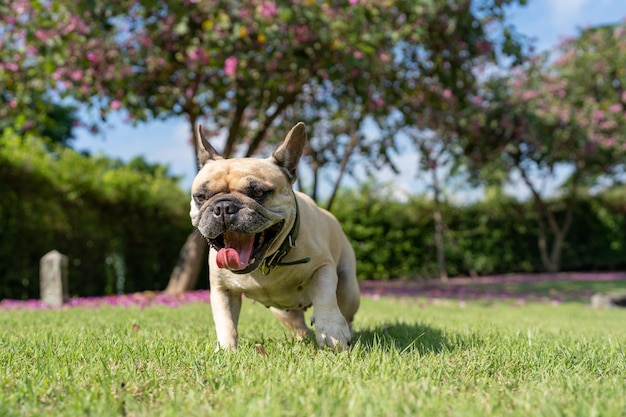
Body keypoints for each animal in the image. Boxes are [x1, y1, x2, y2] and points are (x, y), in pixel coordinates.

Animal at [188, 122, 358, 350]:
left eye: (258, 193)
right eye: (201, 197)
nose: (223, 207)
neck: (266, 262)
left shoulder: (322, 268)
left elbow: (325, 298)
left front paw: (331, 332)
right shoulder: (222, 290)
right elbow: (225, 321)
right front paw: (226, 350)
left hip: (349, 289)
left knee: (345, 312)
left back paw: (347, 331)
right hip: (283, 311)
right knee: (298, 324)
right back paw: (303, 338)